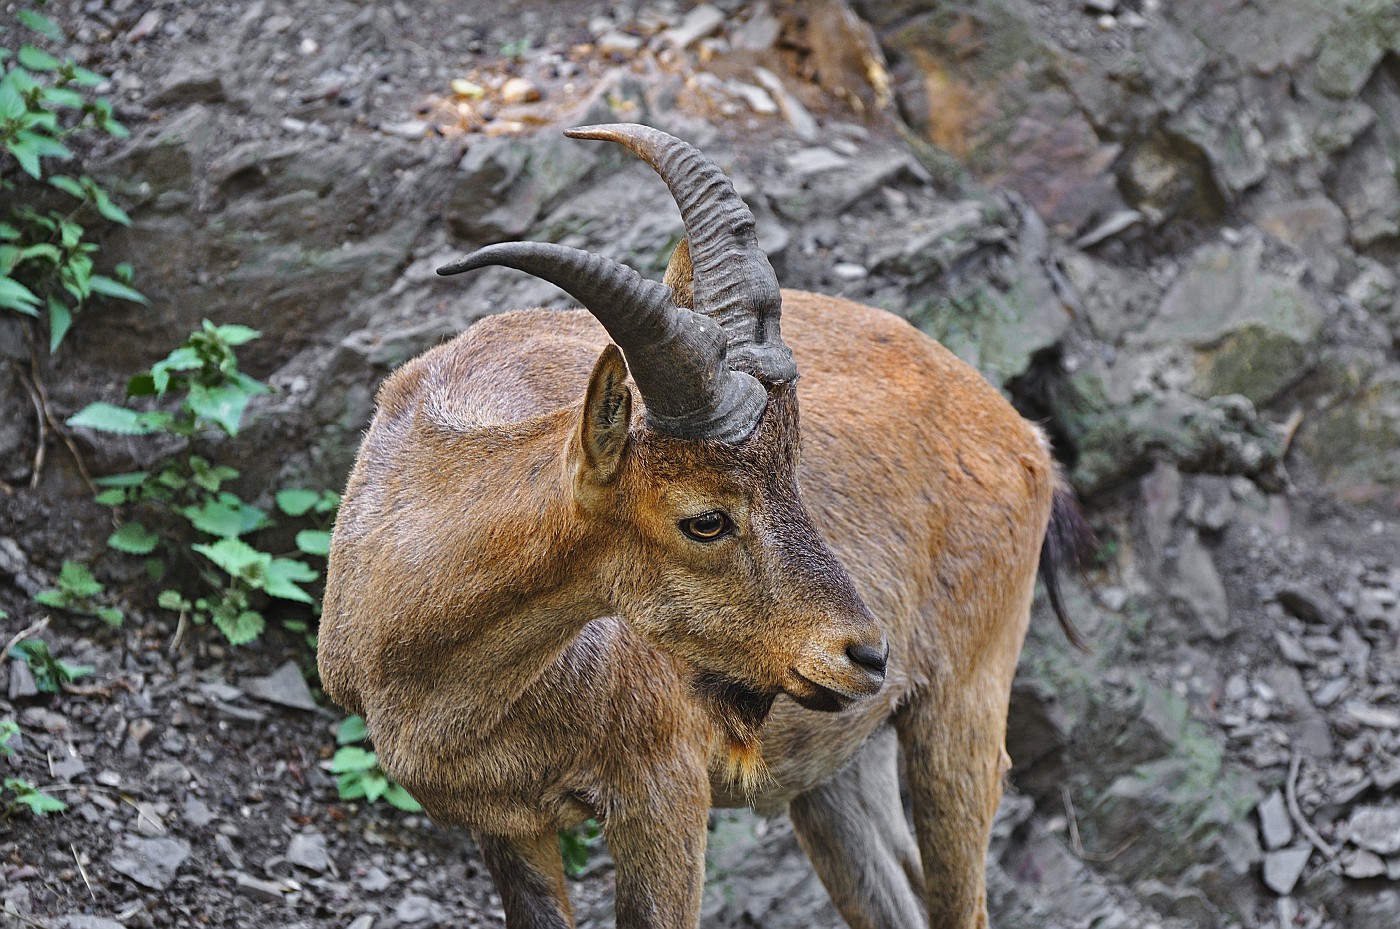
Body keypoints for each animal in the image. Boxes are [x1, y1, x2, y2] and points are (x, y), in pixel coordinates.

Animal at [320, 123, 1080, 929]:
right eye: (706, 520)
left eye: (792, 473)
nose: (867, 653)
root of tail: (1025, 439)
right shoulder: (506, 825)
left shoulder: (664, 791)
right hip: (833, 770)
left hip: (961, 709)